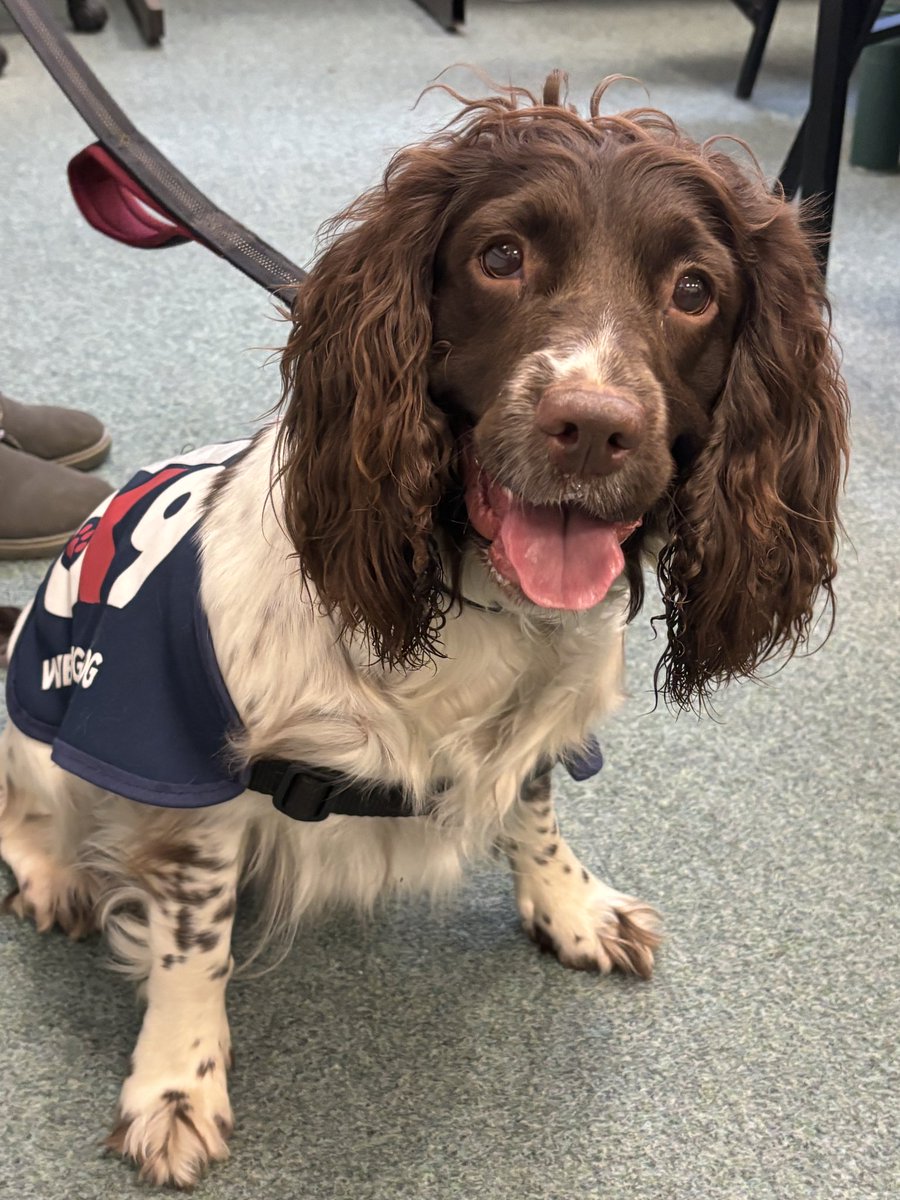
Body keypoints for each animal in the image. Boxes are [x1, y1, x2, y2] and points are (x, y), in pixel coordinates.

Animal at [0, 77, 849, 1190]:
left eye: (696, 288)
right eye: (501, 257)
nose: (594, 427)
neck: (475, 591)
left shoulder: (540, 726)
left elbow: (534, 813)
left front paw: (573, 910)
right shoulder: (182, 764)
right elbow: (196, 940)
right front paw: (176, 1086)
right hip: (40, 720)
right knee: (26, 802)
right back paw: (52, 875)